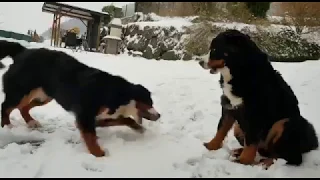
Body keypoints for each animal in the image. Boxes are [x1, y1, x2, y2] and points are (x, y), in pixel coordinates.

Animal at [0, 39, 160, 158]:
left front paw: (139, 128)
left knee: (23, 107)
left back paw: (31, 122)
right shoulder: (85, 116)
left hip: (44, 96)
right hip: (19, 92)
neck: (119, 95)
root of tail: (22, 51)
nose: (159, 115)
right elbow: (91, 137)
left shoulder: (100, 118)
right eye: (149, 102)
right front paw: (99, 154)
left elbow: (126, 119)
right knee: (6, 107)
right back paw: (8, 127)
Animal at [199, 29, 318, 167]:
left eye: (214, 49)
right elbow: (221, 129)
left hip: (284, 124)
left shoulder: (255, 113)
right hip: (238, 128)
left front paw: (243, 161)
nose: (200, 62)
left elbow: (250, 141)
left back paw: (265, 163)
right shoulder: (229, 106)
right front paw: (210, 146)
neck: (240, 70)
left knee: (290, 158)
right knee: (263, 150)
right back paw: (239, 151)